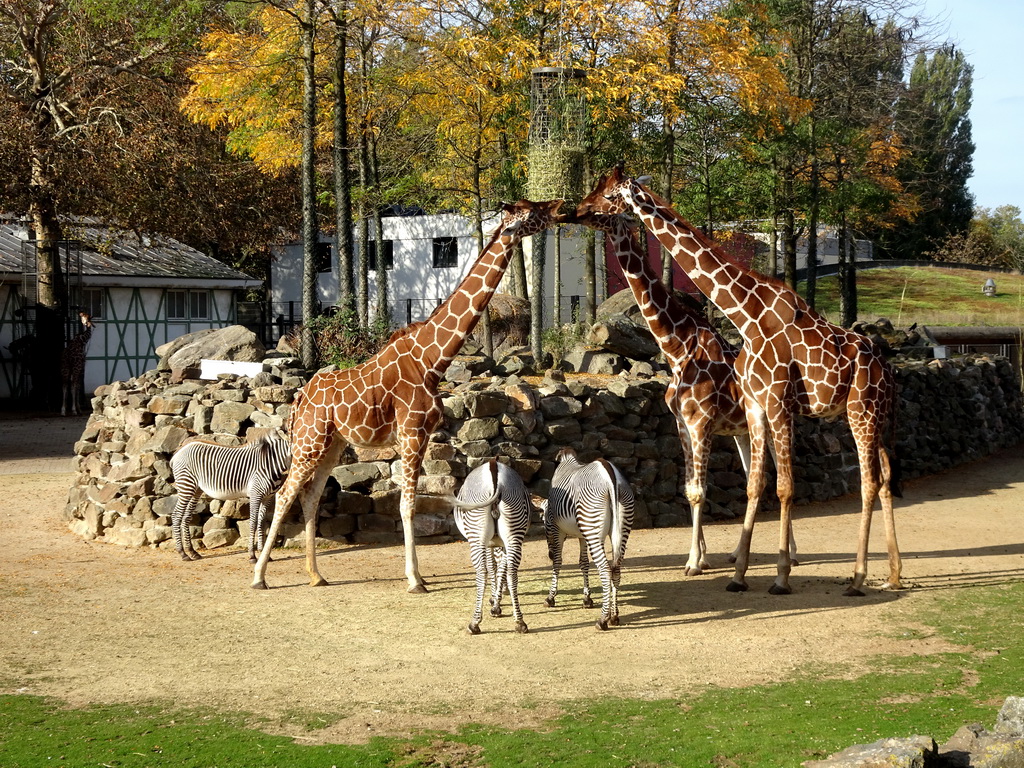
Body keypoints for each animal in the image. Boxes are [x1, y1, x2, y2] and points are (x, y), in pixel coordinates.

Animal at [165, 434, 290, 565]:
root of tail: (179, 452)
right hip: (186, 485)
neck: (271, 463)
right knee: (176, 515)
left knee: (186, 517)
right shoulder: (255, 494)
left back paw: (192, 552)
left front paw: (262, 554)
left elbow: (262, 523)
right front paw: (252, 555)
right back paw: (182, 553)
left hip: (196, 489)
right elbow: (253, 522)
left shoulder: (267, 497)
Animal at [251, 199, 565, 593]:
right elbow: (408, 504)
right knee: (284, 494)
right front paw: (415, 579)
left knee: (309, 496)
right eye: (531, 212)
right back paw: (259, 576)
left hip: (332, 444)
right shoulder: (412, 433)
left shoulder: (421, 435)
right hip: (309, 441)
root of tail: (299, 399)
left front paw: (418, 574)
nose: (559, 207)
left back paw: (315, 575)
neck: (433, 359)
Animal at [456, 460, 536, 634]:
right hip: (514, 532)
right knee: (512, 573)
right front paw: (497, 603)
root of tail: (493, 466)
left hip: (477, 536)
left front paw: (494, 601)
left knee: (481, 573)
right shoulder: (502, 544)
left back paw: (474, 623)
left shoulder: (489, 544)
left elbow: (492, 567)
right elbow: (501, 569)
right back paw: (520, 622)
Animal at [544, 448, 630, 634]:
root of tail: (609, 473)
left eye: (543, 522)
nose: (548, 554)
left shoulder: (556, 528)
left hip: (593, 527)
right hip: (619, 526)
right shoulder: (583, 534)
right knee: (616, 568)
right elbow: (583, 562)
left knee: (605, 569)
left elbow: (558, 561)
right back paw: (614, 616)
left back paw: (603, 619)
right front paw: (587, 598)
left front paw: (551, 597)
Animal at [577, 167, 905, 598]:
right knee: (884, 477)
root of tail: (886, 366)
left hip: (859, 411)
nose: (576, 209)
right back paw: (893, 572)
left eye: (607, 195)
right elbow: (734, 486)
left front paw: (743, 570)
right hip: (873, 417)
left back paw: (856, 576)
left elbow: (756, 487)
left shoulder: (743, 411)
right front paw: (733, 571)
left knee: (866, 481)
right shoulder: (727, 413)